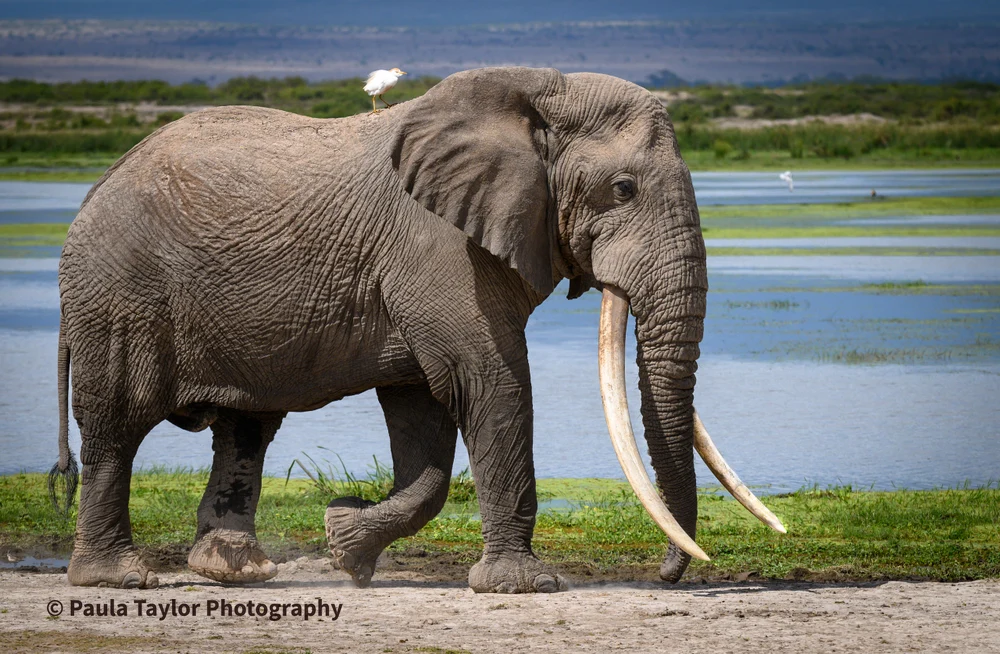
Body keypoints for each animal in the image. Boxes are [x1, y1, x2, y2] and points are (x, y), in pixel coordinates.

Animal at [50, 66, 784, 593]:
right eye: (624, 189)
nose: (669, 574)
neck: (540, 91)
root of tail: (94, 187)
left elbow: (423, 419)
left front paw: (345, 543)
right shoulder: (435, 245)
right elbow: (491, 384)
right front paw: (523, 586)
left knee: (245, 426)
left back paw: (236, 570)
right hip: (116, 294)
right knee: (116, 425)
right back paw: (119, 579)